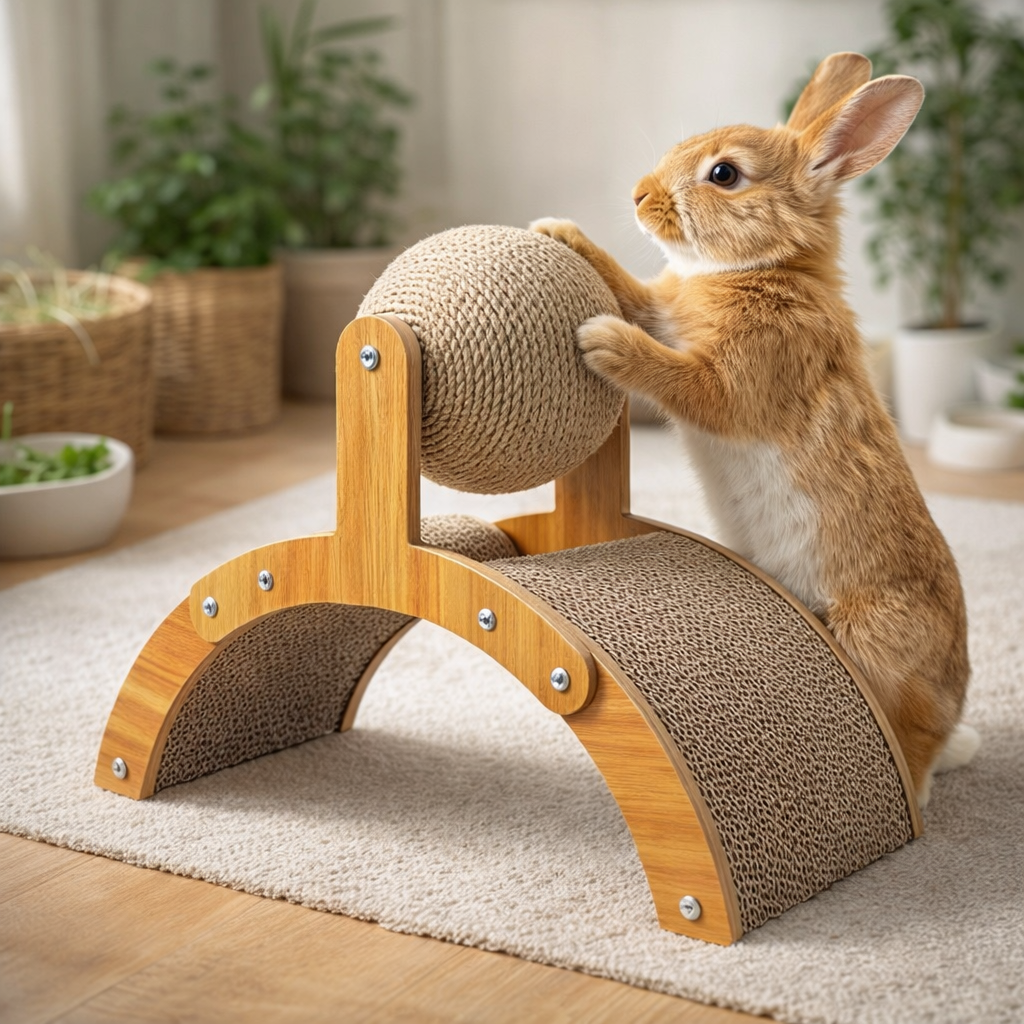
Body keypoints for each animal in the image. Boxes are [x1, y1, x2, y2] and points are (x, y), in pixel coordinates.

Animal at [532, 52, 978, 808]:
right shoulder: (664, 308)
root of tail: (954, 704)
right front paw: (559, 233)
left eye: (724, 174)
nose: (639, 196)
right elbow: (636, 293)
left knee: (909, 749)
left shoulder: (738, 382)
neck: (764, 266)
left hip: (875, 642)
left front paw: (605, 342)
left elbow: (679, 379)